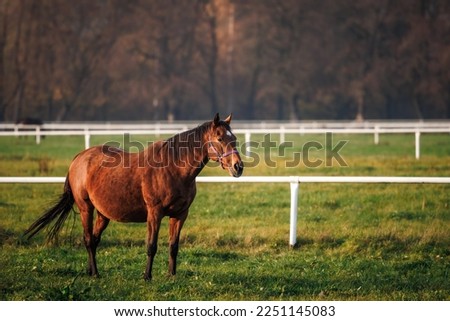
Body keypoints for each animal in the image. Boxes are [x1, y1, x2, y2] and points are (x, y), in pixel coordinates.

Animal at [24, 114, 243, 278]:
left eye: (234, 139)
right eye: (220, 138)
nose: (238, 167)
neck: (172, 168)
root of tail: (80, 157)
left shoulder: (180, 215)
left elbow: (173, 246)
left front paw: (171, 276)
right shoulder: (154, 213)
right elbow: (151, 245)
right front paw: (147, 276)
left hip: (103, 214)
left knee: (94, 240)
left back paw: (90, 271)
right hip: (86, 208)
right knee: (87, 239)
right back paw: (95, 273)